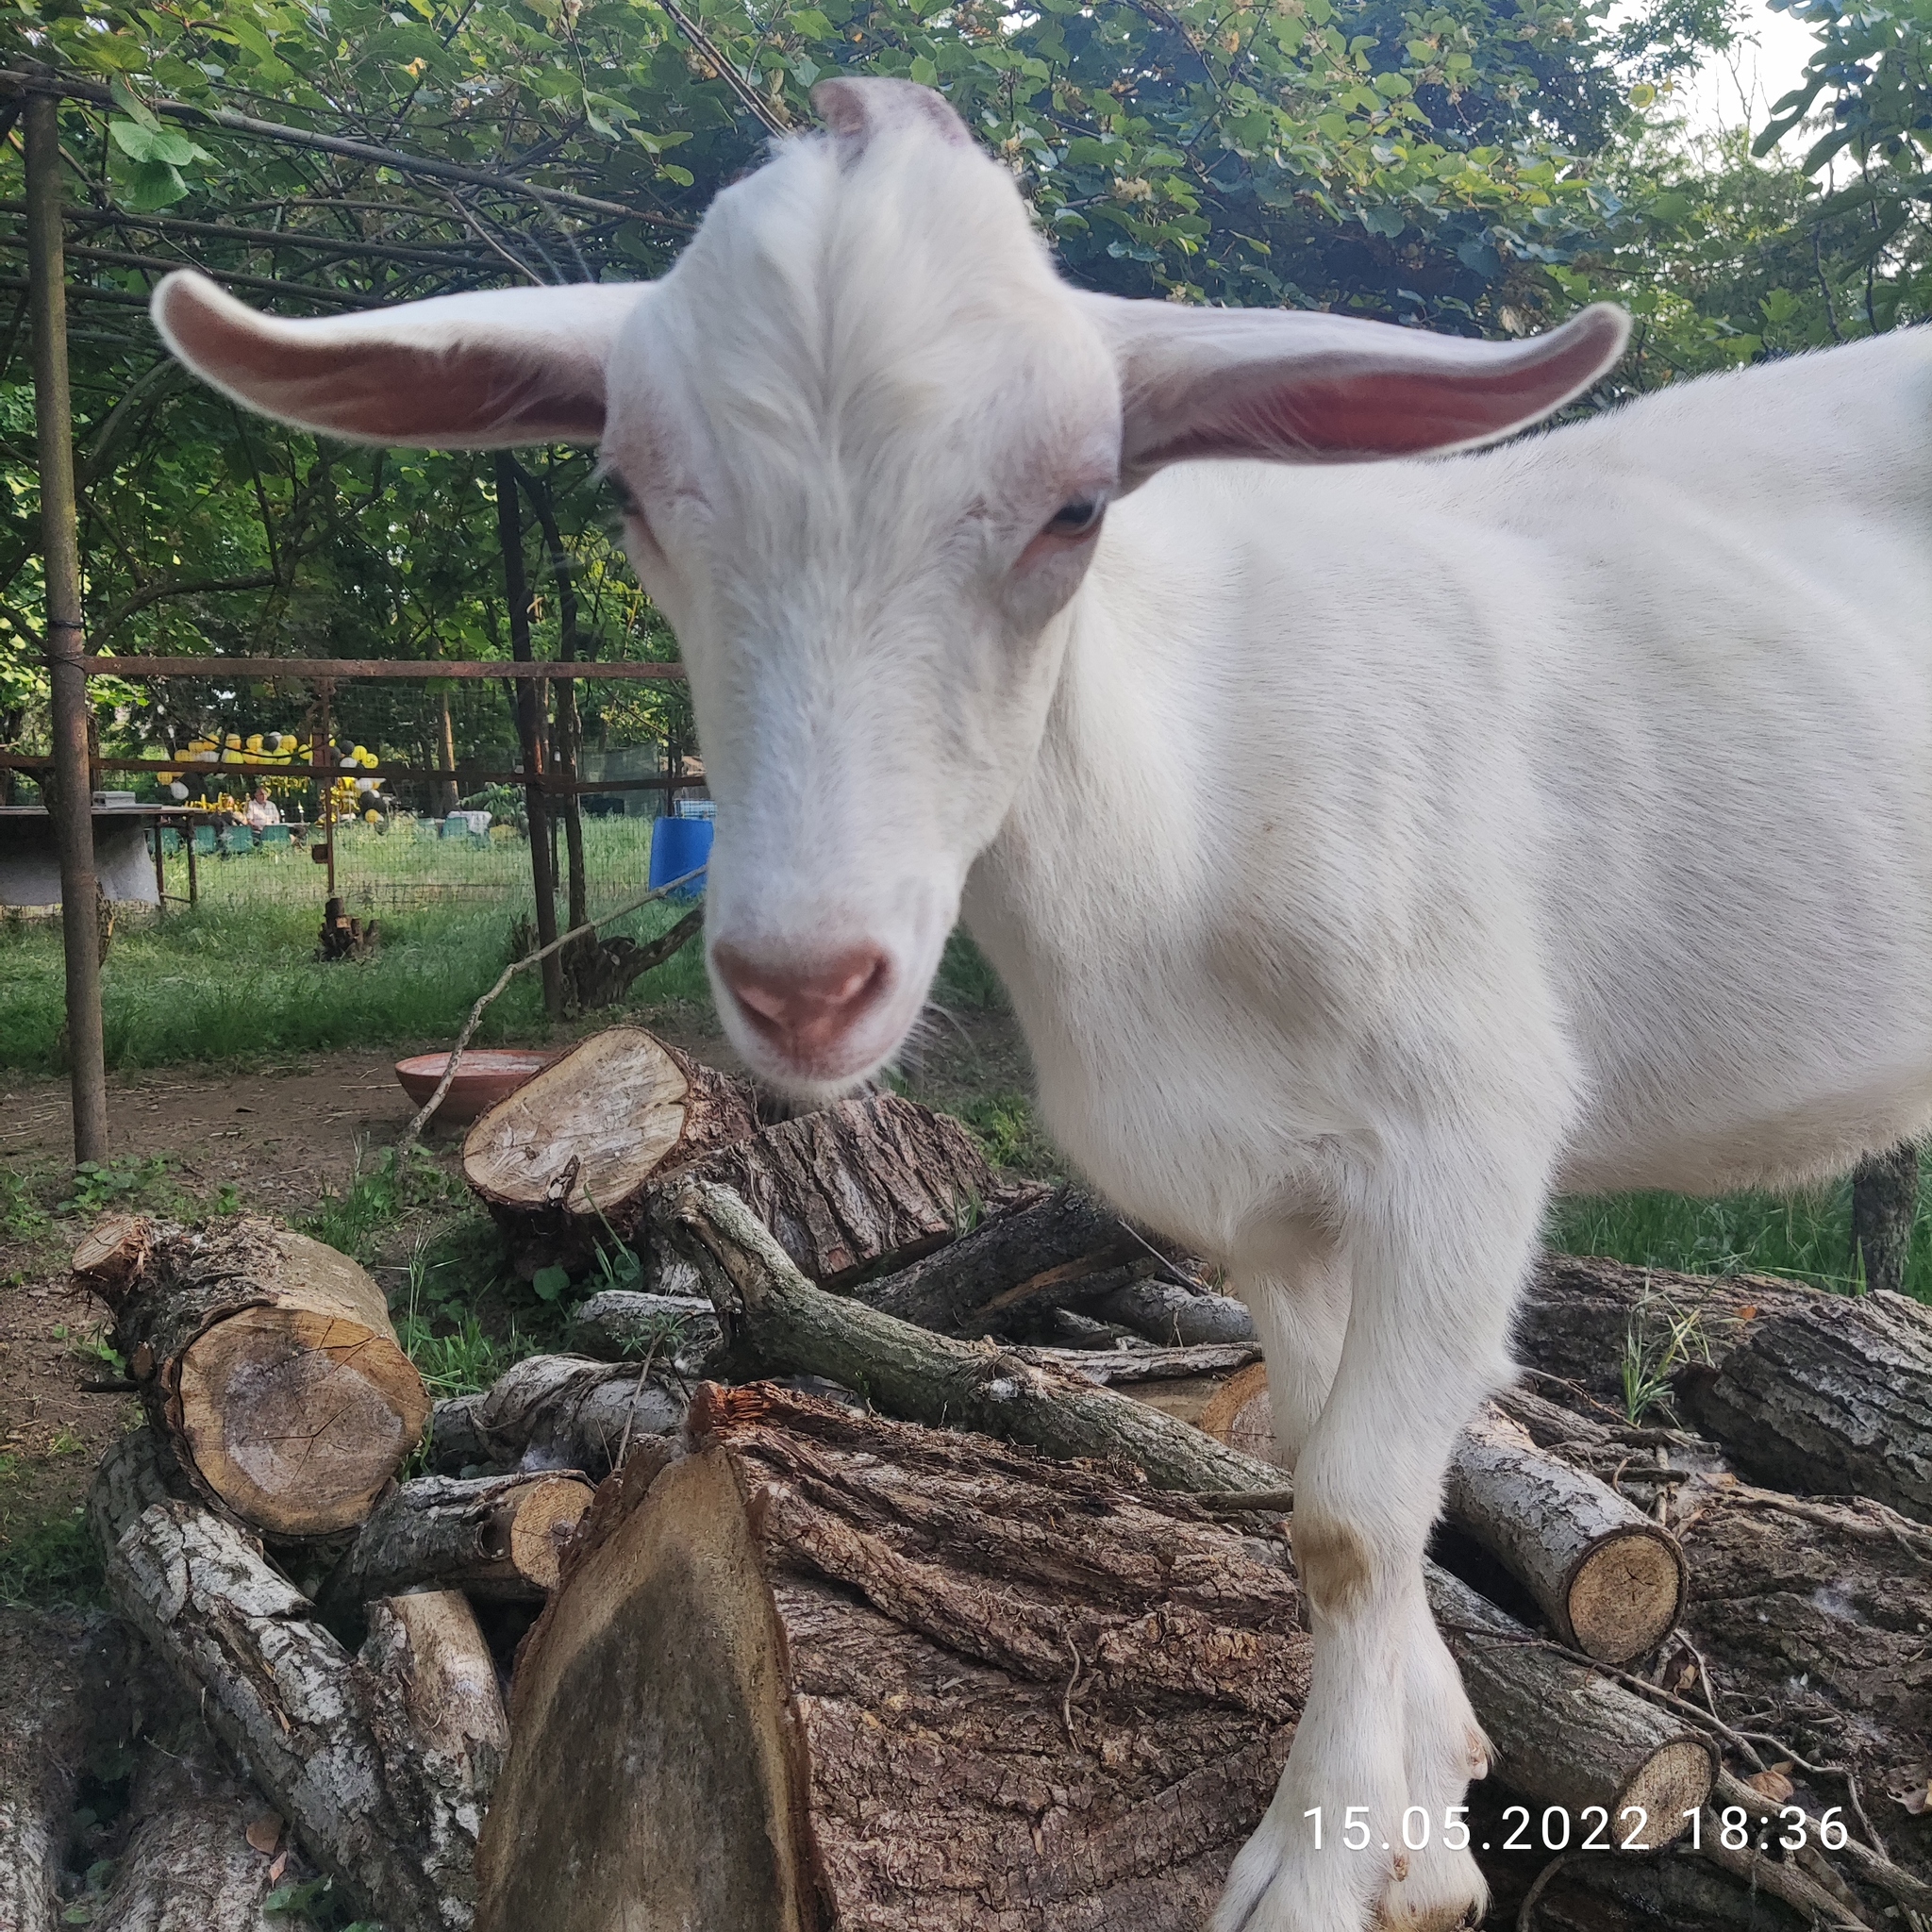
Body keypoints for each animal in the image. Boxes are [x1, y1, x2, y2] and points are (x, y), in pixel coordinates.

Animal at [158, 83, 1932, 1932]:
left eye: (1079, 506)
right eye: (628, 488)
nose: (806, 980)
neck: (1186, 808)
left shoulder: (1468, 1132)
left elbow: (1359, 1512)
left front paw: (1317, 1869)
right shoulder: (1269, 1194)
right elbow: (1328, 1482)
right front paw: (1426, 1807)